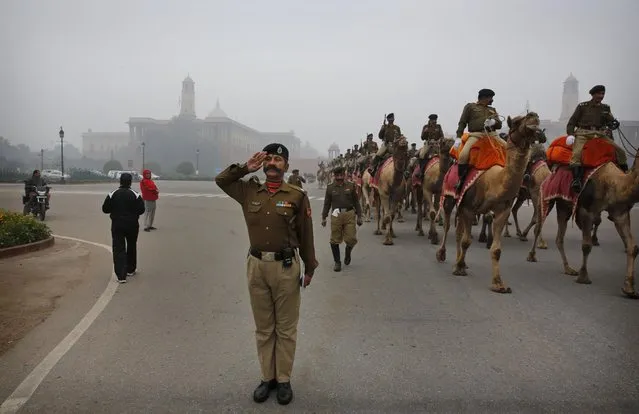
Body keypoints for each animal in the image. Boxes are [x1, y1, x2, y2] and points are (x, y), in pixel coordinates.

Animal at [436, 112, 544, 294]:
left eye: (535, 118)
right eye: (517, 121)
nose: (533, 116)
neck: (493, 181)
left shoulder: (501, 211)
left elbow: (496, 249)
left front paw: (499, 284)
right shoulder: (469, 208)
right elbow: (466, 241)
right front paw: (458, 268)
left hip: (462, 205)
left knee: (458, 231)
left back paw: (460, 260)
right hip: (450, 197)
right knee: (448, 225)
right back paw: (442, 254)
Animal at [524, 140, 639, 298]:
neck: (613, 183)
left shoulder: (619, 213)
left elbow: (632, 247)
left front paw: (629, 288)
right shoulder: (586, 211)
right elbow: (586, 245)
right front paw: (583, 277)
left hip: (563, 206)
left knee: (559, 237)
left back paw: (568, 268)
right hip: (546, 196)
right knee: (538, 225)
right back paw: (531, 255)